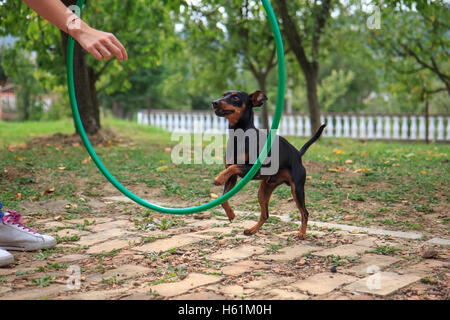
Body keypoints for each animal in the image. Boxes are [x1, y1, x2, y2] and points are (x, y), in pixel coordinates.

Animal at [213, 91, 326, 239]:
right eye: (223, 95)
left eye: (235, 97)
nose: (214, 102)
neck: (239, 137)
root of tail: (298, 154)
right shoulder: (232, 178)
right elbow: (223, 198)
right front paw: (231, 214)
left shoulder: (254, 169)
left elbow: (234, 167)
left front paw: (218, 178)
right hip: (264, 189)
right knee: (265, 214)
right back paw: (252, 230)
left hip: (297, 190)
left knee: (305, 212)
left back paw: (302, 233)